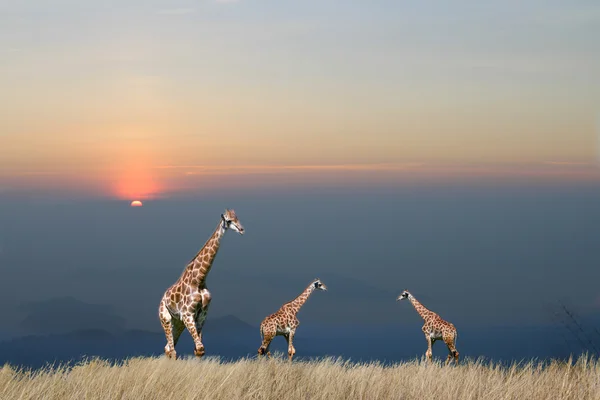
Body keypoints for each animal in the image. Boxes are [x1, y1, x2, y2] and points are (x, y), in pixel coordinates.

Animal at [159, 209, 246, 360]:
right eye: (229, 221)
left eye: (237, 218)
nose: (241, 229)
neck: (199, 280)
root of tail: (162, 299)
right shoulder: (187, 314)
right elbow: (199, 348)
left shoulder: (202, 315)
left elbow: (199, 350)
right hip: (165, 318)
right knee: (171, 350)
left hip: (178, 323)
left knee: (168, 348)